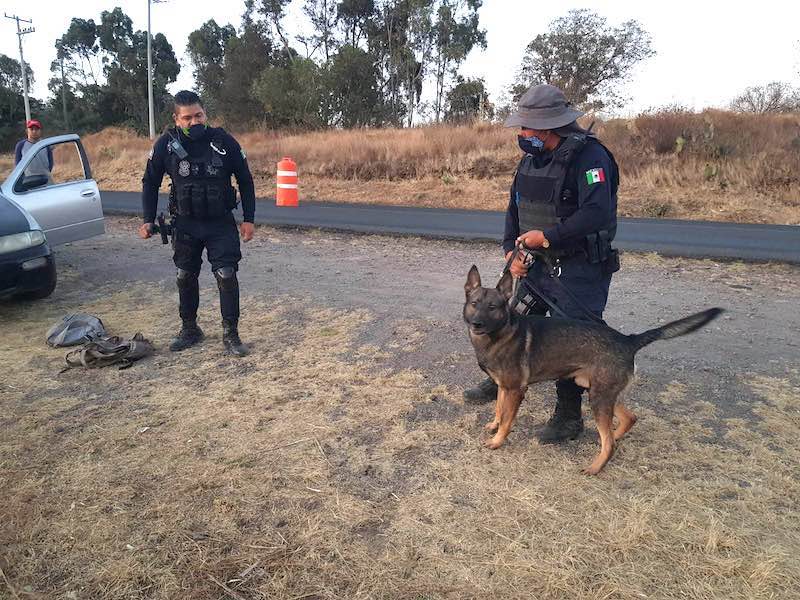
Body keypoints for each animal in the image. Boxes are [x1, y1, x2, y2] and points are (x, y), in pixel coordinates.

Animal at [462, 264, 724, 476]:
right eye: (474, 304)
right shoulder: (503, 387)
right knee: (628, 419)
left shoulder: (516, 390)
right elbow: (499, 408)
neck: (500, 333)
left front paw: (497, 441)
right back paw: (613, 436)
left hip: (598, 397)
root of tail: (628, 340)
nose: (477, 323)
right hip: (598, 391)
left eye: (493, 307)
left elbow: (508, 418)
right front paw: (493, 426)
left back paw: (596, 466)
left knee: (610, 442)